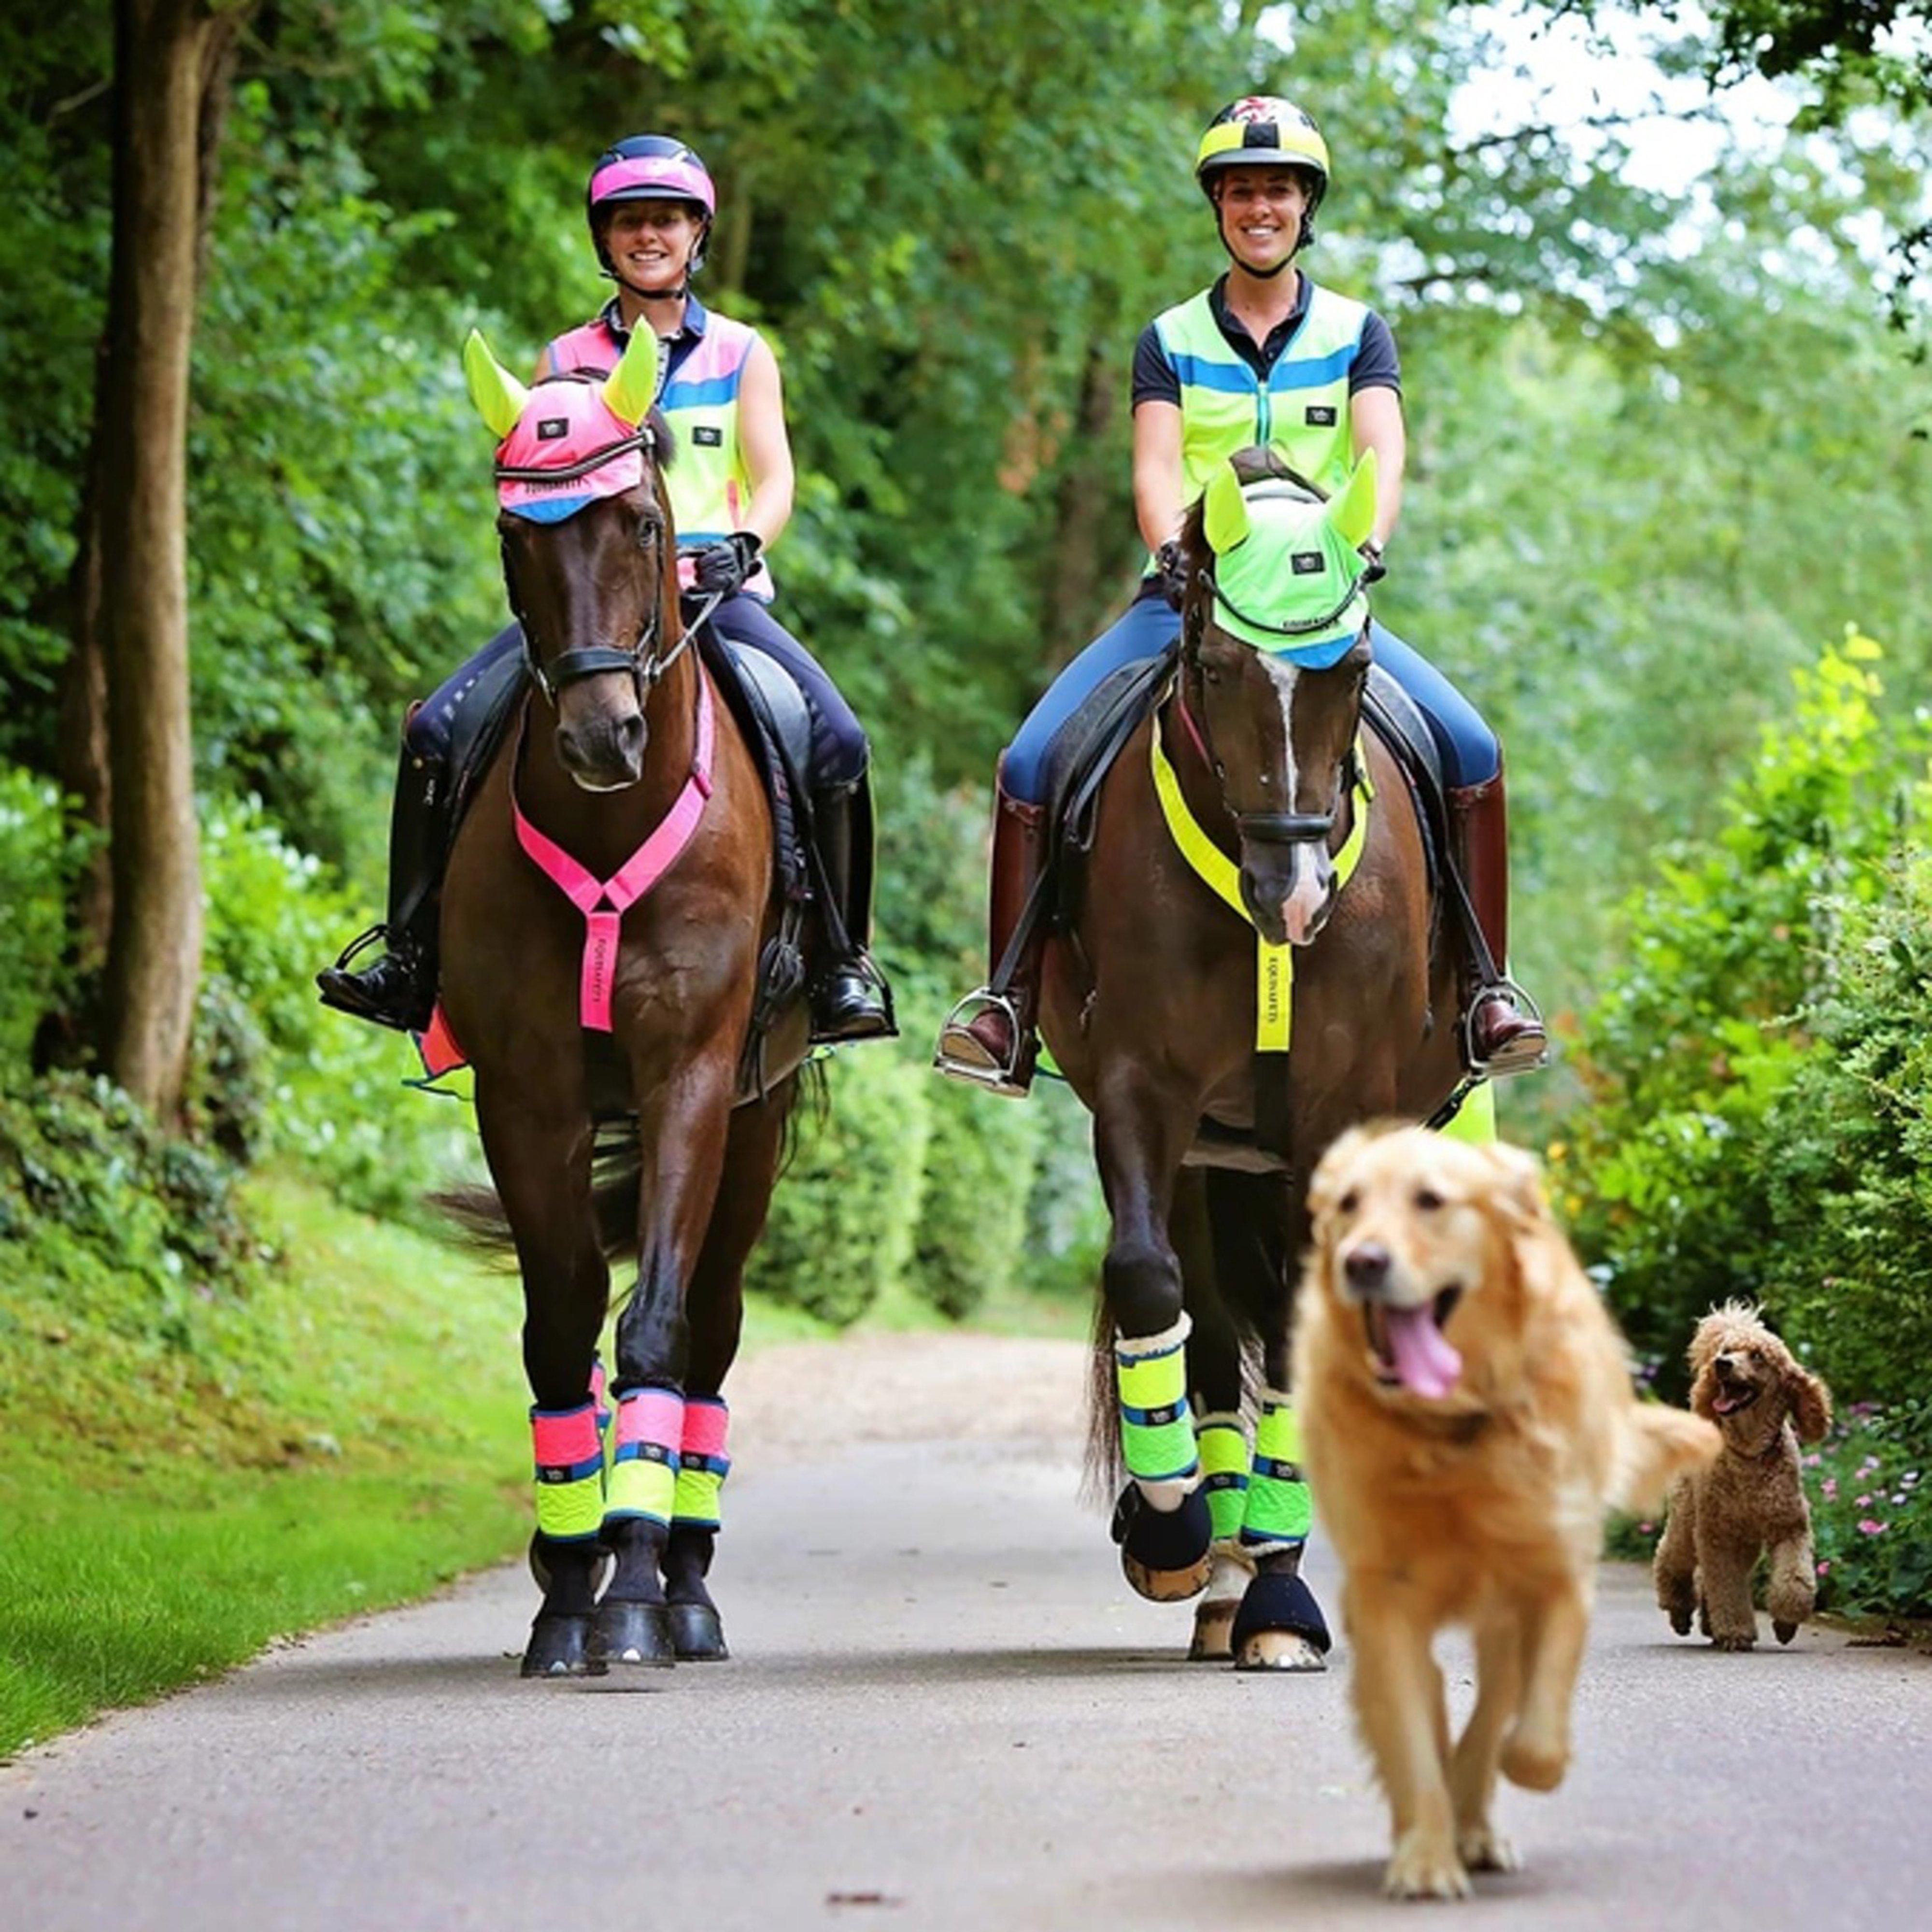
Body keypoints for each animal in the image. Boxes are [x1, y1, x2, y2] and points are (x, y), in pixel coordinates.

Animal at [438, 324, 808, 1677]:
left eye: (643, 520)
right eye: (516, 534)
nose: (604, 734)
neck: (611, 822)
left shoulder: (690, 1076)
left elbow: (653, 1328)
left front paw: (639, 1595)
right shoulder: (526, 1090)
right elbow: (560, 1333)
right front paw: (565, 1592)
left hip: (756, 1121)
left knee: (710, 1325)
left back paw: (688, 1583)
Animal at [1038, 448, 1474, 1670]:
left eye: (1354, 666)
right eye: (1220, 665)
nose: (1295, 896)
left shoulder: (1334, 1113)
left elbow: (1294, 1320)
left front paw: (1283, 1598)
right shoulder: (1144, 1095)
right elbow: (1151, 1284)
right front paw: (1173, 1528)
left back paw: (1252, 1579)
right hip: (1210, 1158)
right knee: (1202, 1317)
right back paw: (1212, 1562)